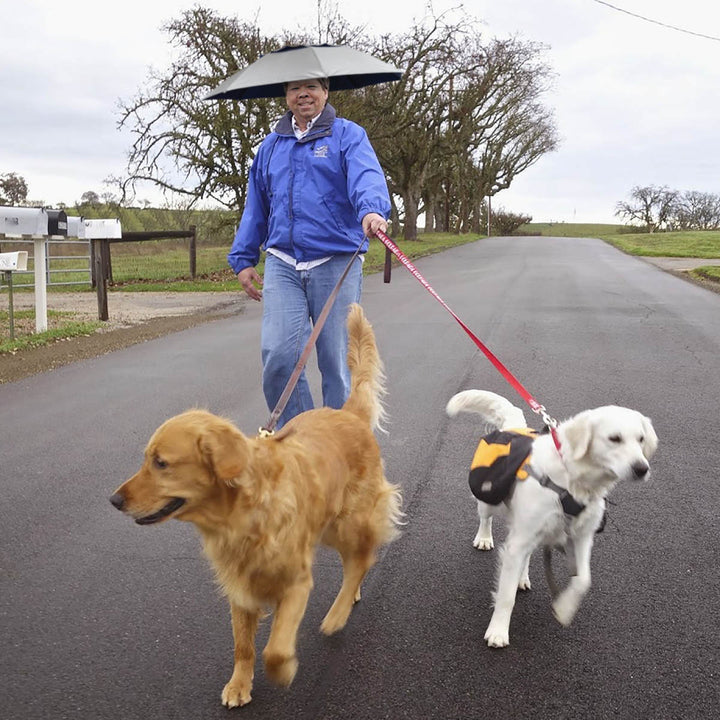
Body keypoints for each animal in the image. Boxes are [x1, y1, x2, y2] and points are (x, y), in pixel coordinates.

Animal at [448, 390, 660, 648]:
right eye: (614, 438)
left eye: (641, 439)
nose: (642, 468)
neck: (572, 482)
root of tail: (515, 426)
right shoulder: (521, 537)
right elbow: (506, 596)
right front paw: (498, 631)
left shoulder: (581, 537)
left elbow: (583, 580)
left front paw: (564, 609)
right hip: (490, 501)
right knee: (485, 518)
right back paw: (484, 538)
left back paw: (522, 577)